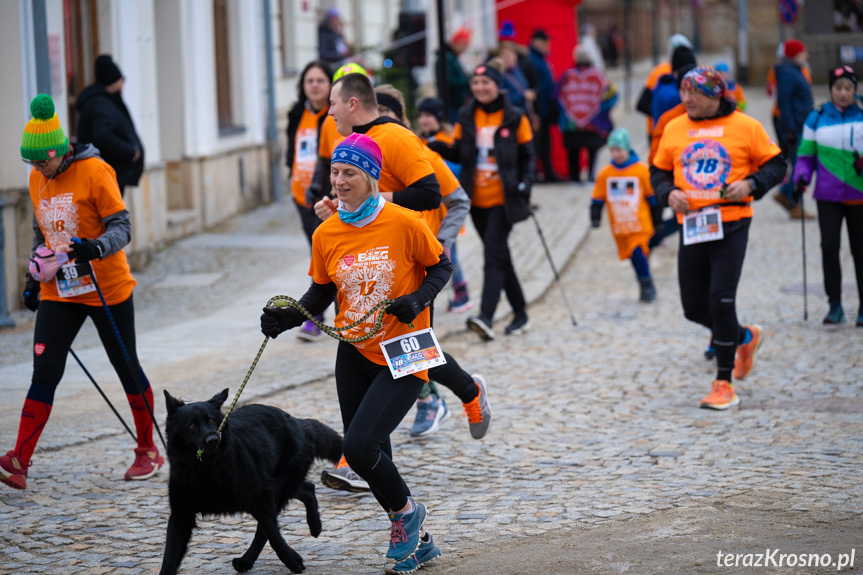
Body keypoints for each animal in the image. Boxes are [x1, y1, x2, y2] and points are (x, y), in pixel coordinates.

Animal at [160, 390, 342, 572]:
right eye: (191, 426)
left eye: (211, 420)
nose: (213, 439)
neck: (206, 468)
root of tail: (296, 421)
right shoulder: (181, 514)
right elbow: (170, 553)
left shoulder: (259, 500)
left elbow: (273, 534)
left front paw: (292, 561)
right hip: (279, 487)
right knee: (308, 488)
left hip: (277, 488)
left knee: (268, 526)